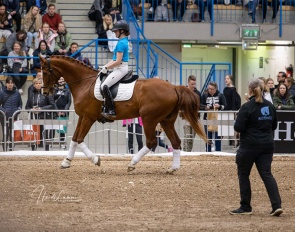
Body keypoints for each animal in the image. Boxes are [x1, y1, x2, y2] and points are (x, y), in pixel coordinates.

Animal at [40, 55, 208, 172]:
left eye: (45, 72)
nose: (45, 92)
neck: (84, 83)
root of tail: (173, 87)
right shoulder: (82, 117)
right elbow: (74, 139)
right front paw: (66, 161)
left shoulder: (88, 118)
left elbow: (80, 139)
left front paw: (96, 160)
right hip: (166, 121)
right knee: (176, 142)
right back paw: (173, 168)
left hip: (149, 119)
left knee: (151, 142)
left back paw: (132, 164)